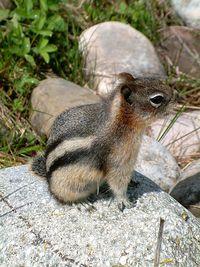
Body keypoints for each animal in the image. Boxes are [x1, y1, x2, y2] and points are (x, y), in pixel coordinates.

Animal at [31, 73, 177, 211]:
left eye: (154, 80)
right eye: (156, 99)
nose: (176, 95)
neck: (120, 122)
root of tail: (48, 178)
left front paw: (132, 179)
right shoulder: (118, 161)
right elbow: (118, 183)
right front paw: (124, 200)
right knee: (63, 197)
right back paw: (80, 203)